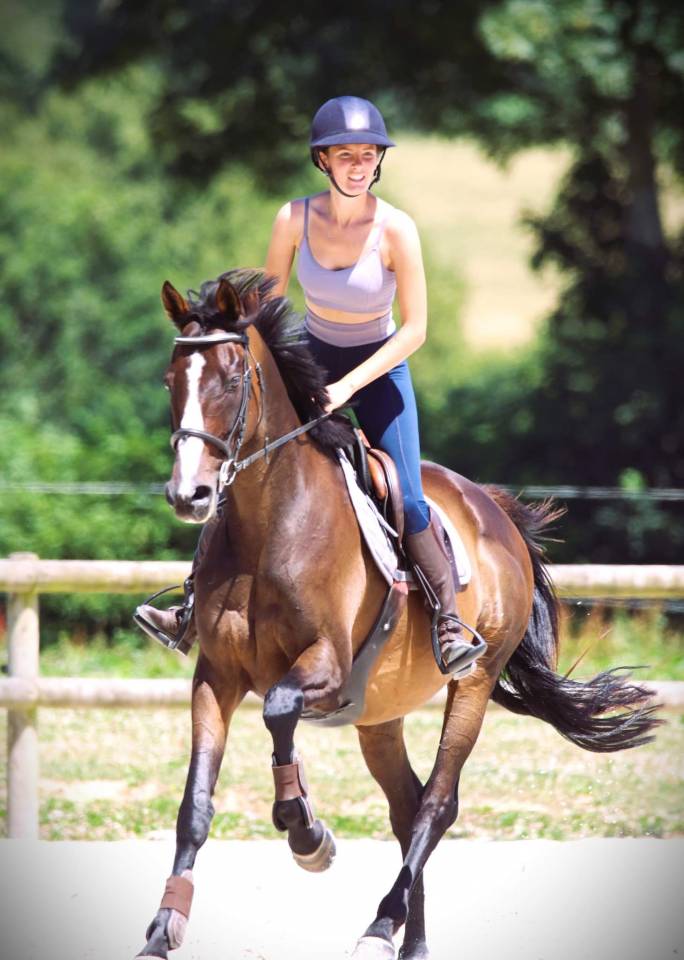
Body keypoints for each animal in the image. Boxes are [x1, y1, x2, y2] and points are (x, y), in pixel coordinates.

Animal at [136, 269, 660, 960]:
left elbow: (278, 709)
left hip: (473, 681)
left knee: (437, 803)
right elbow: (195, 803)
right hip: (378, 715)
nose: (188, 495)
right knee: (407, 808)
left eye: (229, 377)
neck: (267, 523)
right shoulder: (216, 676)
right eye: (171, 380)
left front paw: (307, 835)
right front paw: (161, 929)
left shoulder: (324, 666)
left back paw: (380, 926)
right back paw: (411, 941)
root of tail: (494, 509)